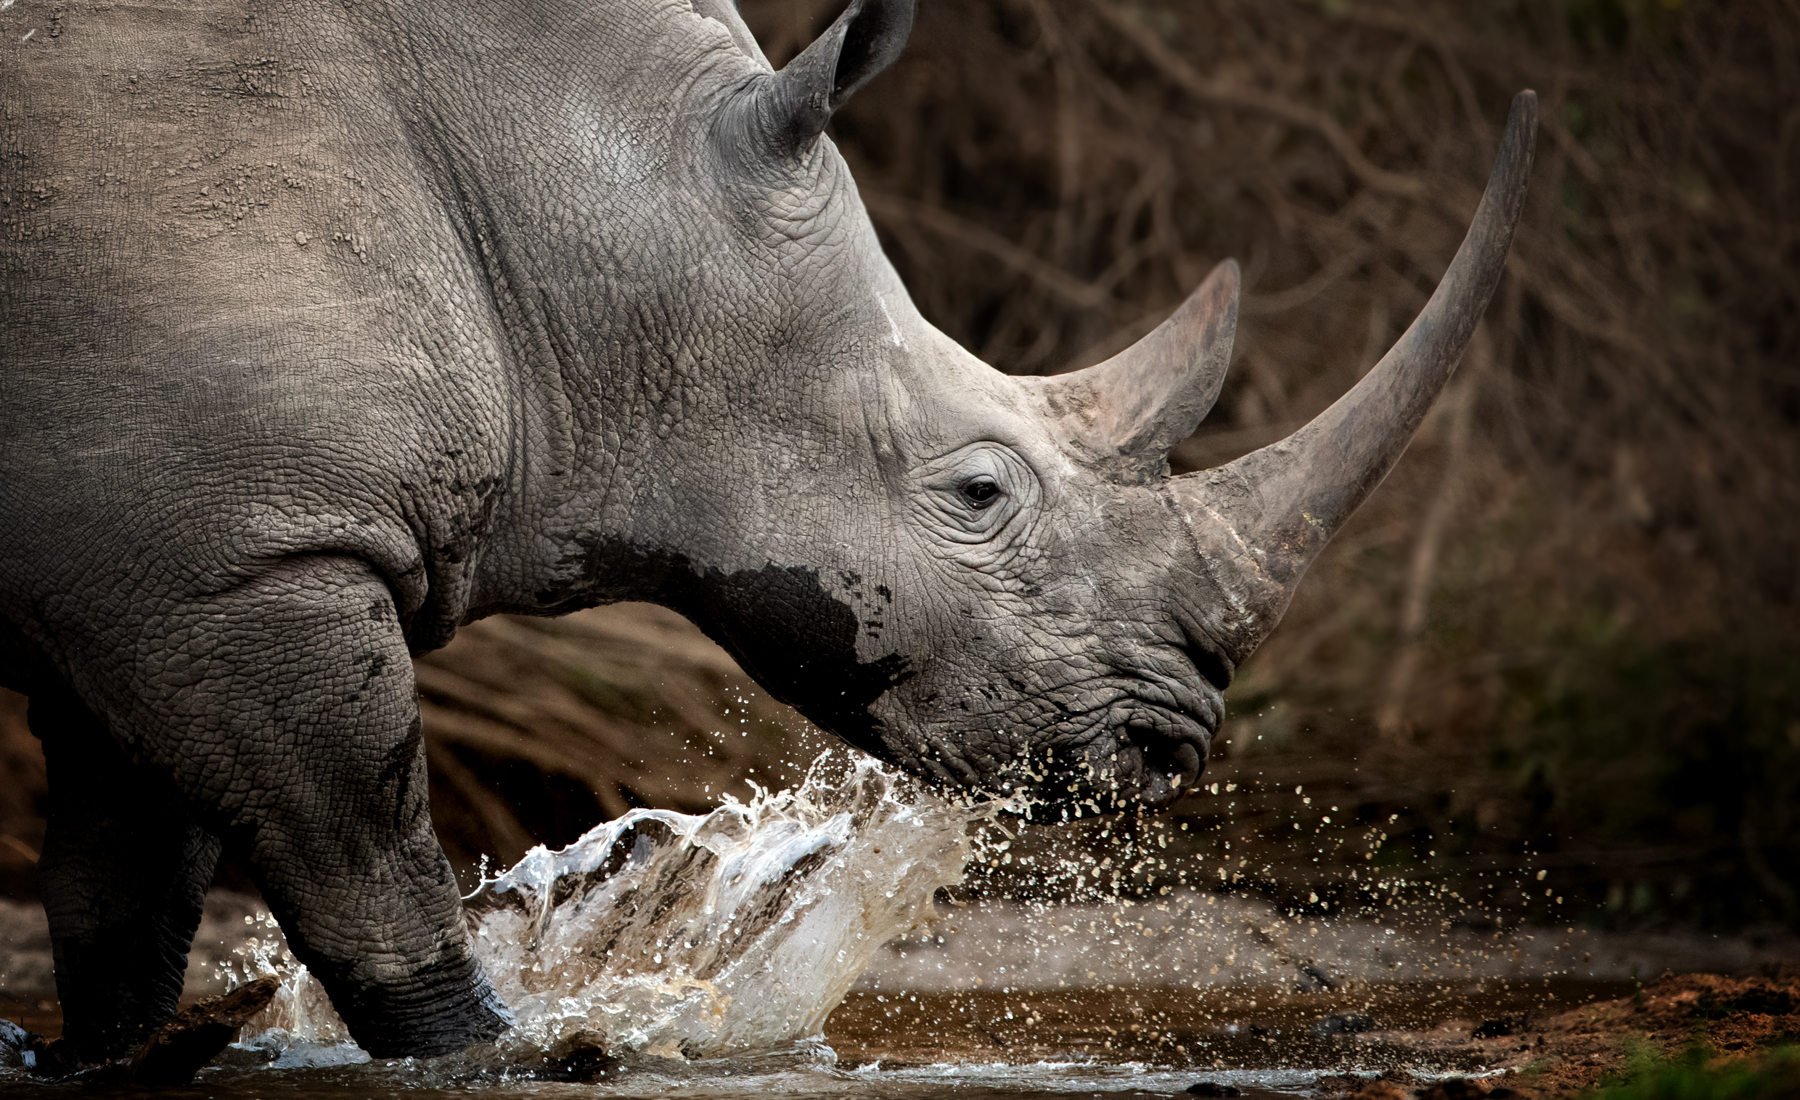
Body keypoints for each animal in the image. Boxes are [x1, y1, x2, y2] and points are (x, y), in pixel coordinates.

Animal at [0, 0, 1534, 1065]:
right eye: (977, 495)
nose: (1170, 744)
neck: (578, 213)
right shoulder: (247, 561)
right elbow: (369, 873)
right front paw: (506, 1052)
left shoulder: (157, 569)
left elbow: (124, 905)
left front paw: (110, 1059)